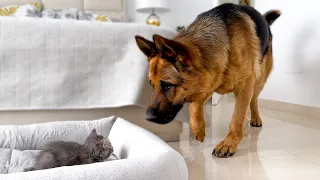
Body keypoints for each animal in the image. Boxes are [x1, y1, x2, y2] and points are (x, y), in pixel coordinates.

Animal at [135, 3, 280, 158]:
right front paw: (198, 129)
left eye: (167, 85)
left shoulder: (245, 84)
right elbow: (194, 107)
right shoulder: (209, 82)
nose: (148, 118)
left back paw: (254, 119)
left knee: (253, 100)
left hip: (259, 80)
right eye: (152, 85)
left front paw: (229, 143)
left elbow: (236, 118)